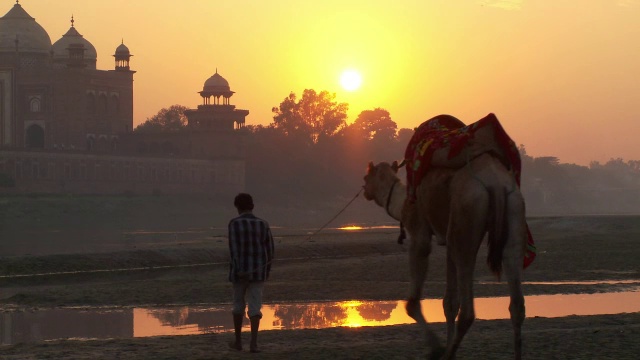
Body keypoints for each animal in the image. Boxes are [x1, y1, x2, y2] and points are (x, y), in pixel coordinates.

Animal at [362, 147, 528, 358]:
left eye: (366, 176)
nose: (364, 190)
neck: (402, 201)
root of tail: (496, 183)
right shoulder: (448, 241)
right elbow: (449, 303)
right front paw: (447, 345)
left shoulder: (419, 231)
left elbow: (413, 302)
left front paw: (437, 347)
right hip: (514, 207)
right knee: (516, 301)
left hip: (467, 211)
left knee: (467, 311)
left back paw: (447, 355)